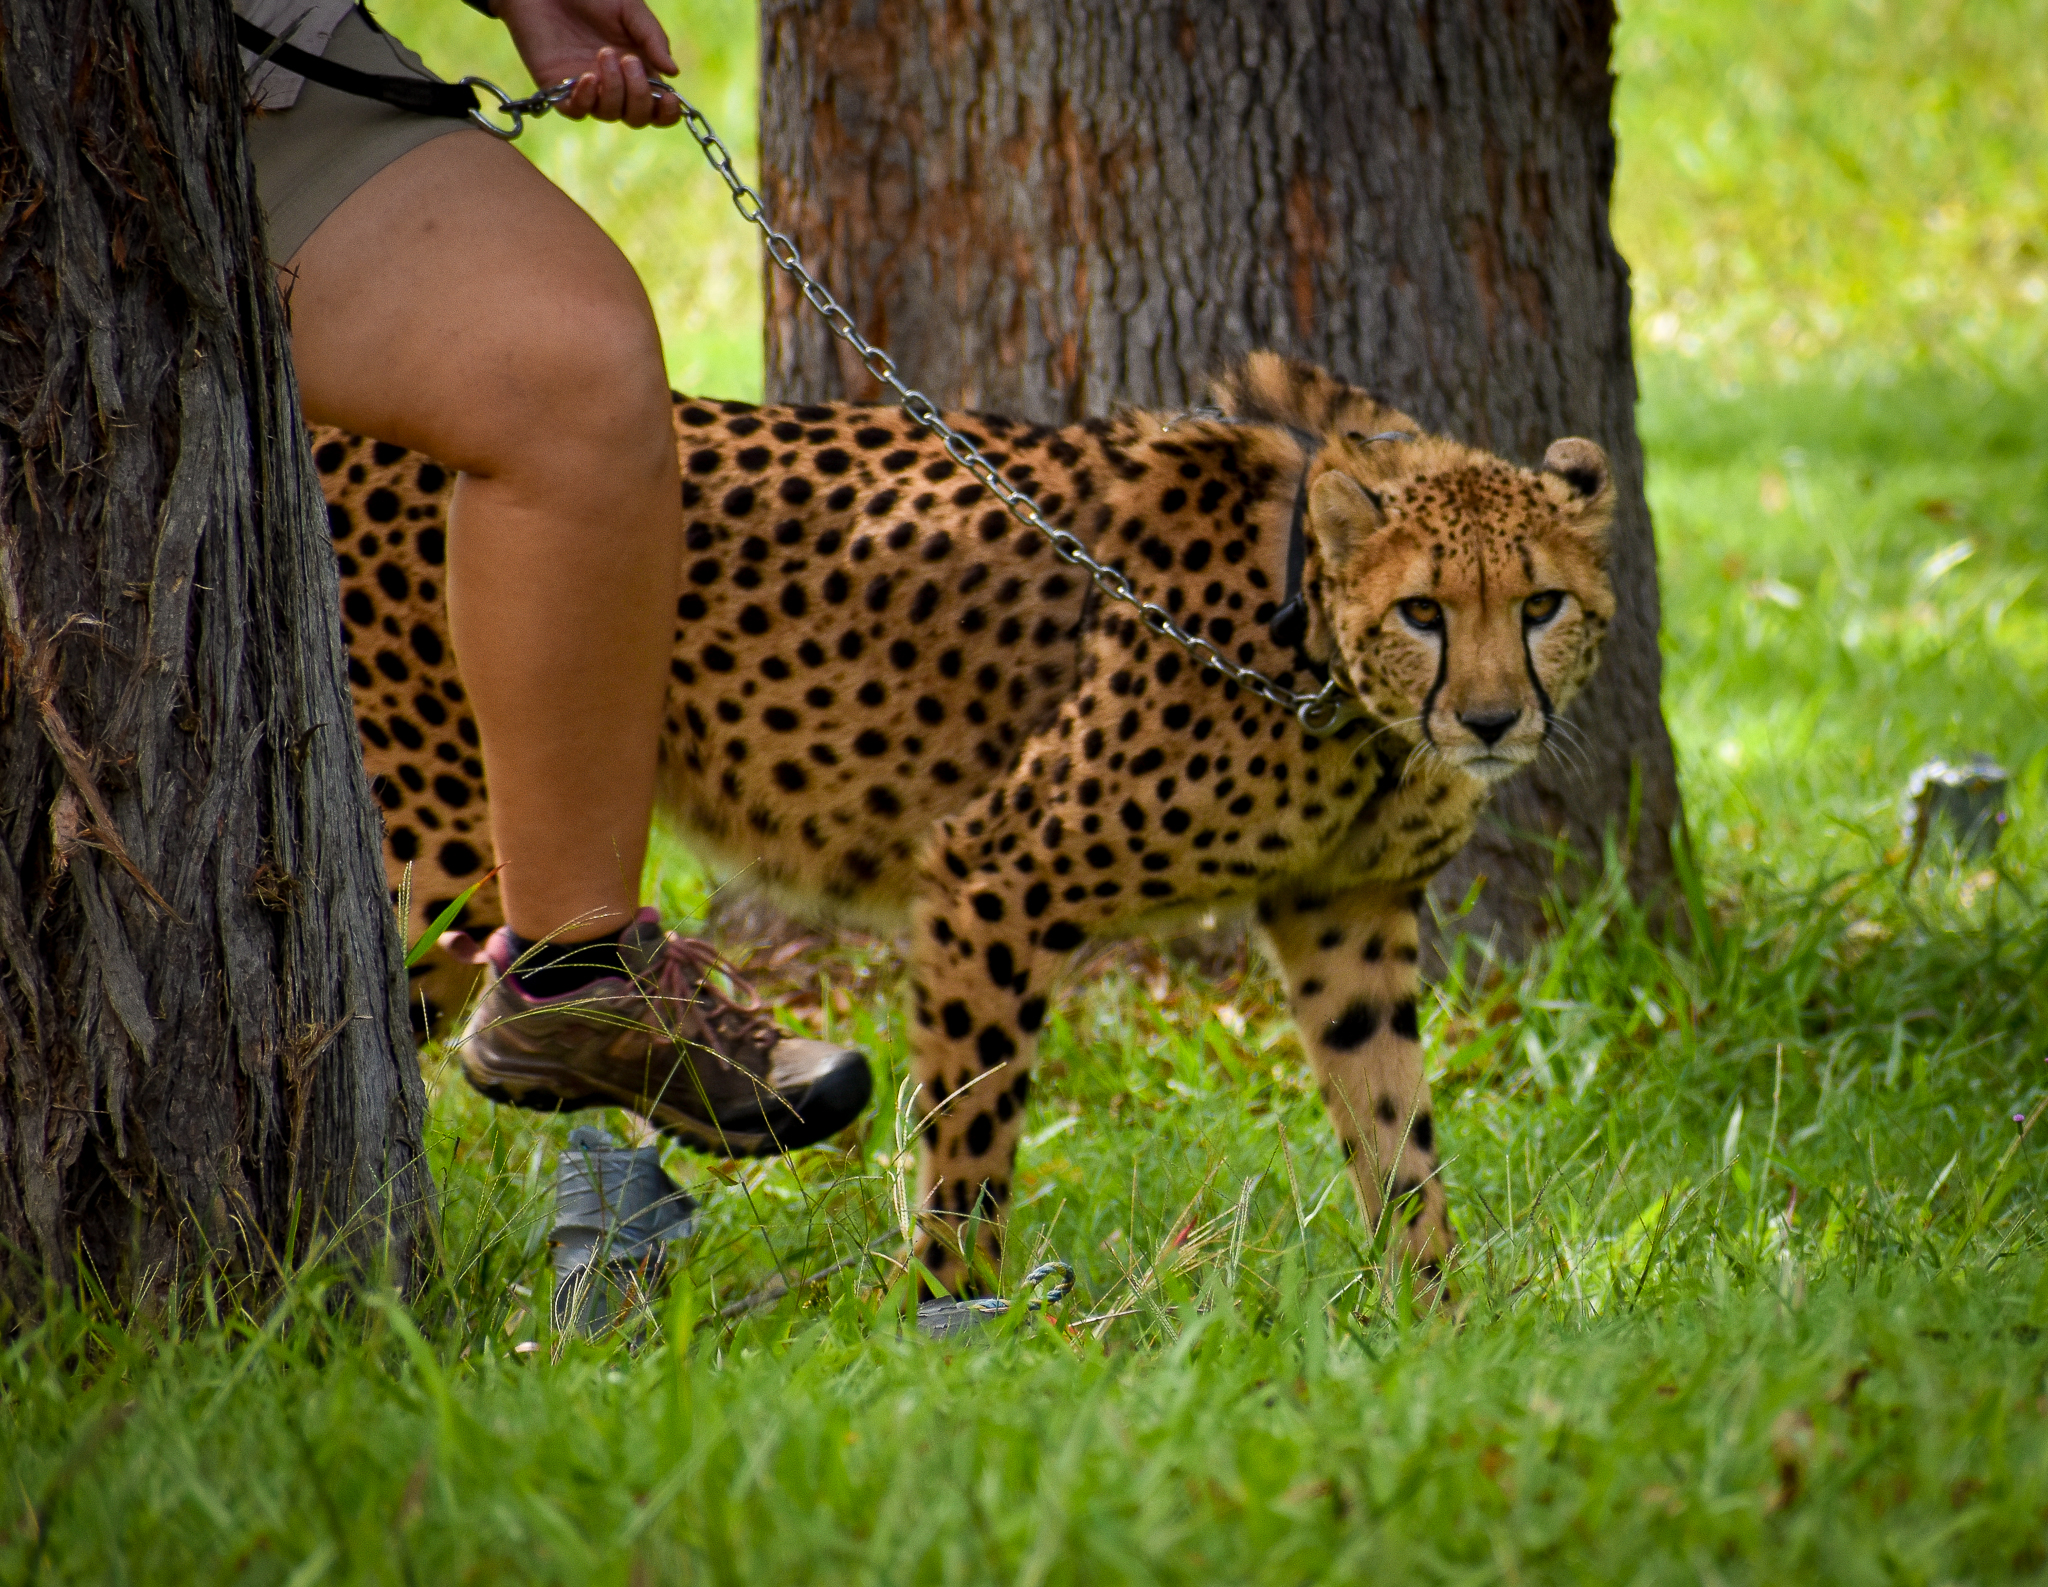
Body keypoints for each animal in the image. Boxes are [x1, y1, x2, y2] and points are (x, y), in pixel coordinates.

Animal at [315, 351, 1617, 1294]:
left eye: (1541, 605)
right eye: (1423, 611)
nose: (1493, 720)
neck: (1321, 658)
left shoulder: (1341, 914)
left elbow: (1398, 1138)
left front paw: (1432, 1322)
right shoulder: (998, 869)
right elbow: (971, 1130)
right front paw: (952, 1317)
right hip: (429, 839)